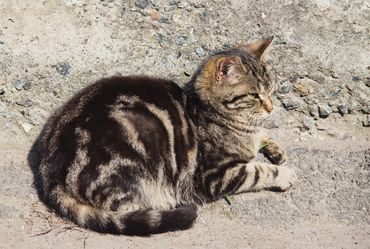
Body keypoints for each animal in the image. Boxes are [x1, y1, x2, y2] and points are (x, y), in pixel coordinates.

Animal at [33, 36, 296, 235]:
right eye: (253, 95)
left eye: (271, 89)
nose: (271, 107)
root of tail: (49, 172)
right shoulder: (214, 176)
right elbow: (258, 171)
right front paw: (284, 174)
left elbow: (262, 135)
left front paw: (275, 148)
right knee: (124, 208)